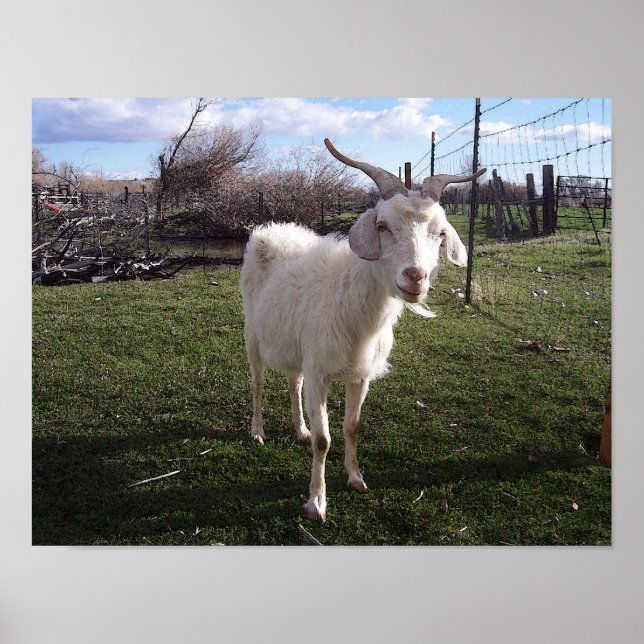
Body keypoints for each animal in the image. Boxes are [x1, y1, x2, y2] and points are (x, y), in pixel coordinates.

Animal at [240, 139, 485, 521]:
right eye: (382, 226)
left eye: (441, 233)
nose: (415, 277)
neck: (351, 302)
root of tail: (269, 229)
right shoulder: (320, 373)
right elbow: (325, 440)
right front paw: (316, 503)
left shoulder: (359, 374)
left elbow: (352, 427)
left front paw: (355, 478)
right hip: (252, 332)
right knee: (258, 382)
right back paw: (257, 431)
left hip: (296, 346)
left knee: (293, 382)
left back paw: (300, 429)